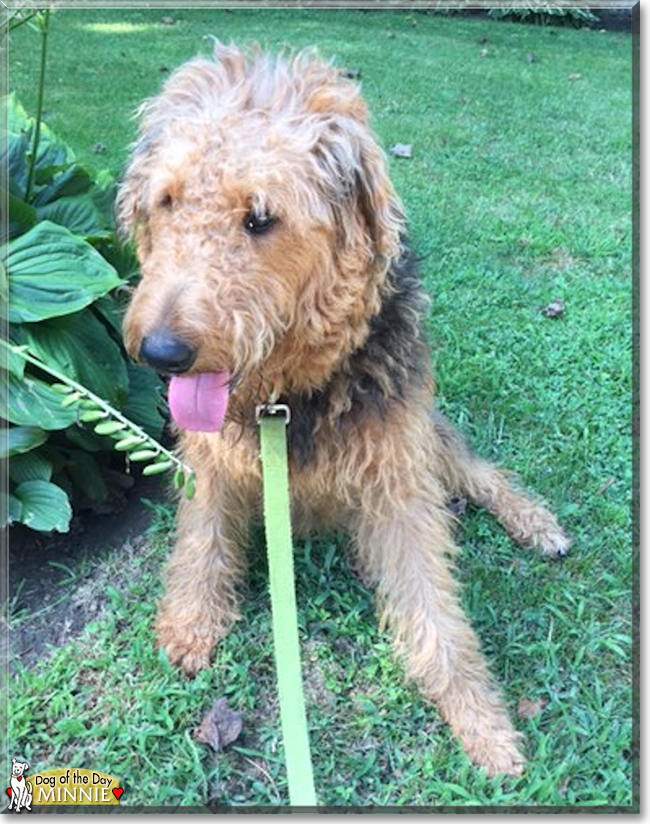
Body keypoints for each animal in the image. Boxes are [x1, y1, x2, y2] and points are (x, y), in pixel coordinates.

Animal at [116, 43, 568, 780]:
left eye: (260, 217)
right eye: (168, 201)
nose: (162, 352)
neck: (285, 399)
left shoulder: (397, 482)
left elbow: (436, 618)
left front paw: (483, 724)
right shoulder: (211, 465)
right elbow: (202, 544)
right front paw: (190, 623)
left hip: (424, 438)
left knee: (479, 471)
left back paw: (537, 523)